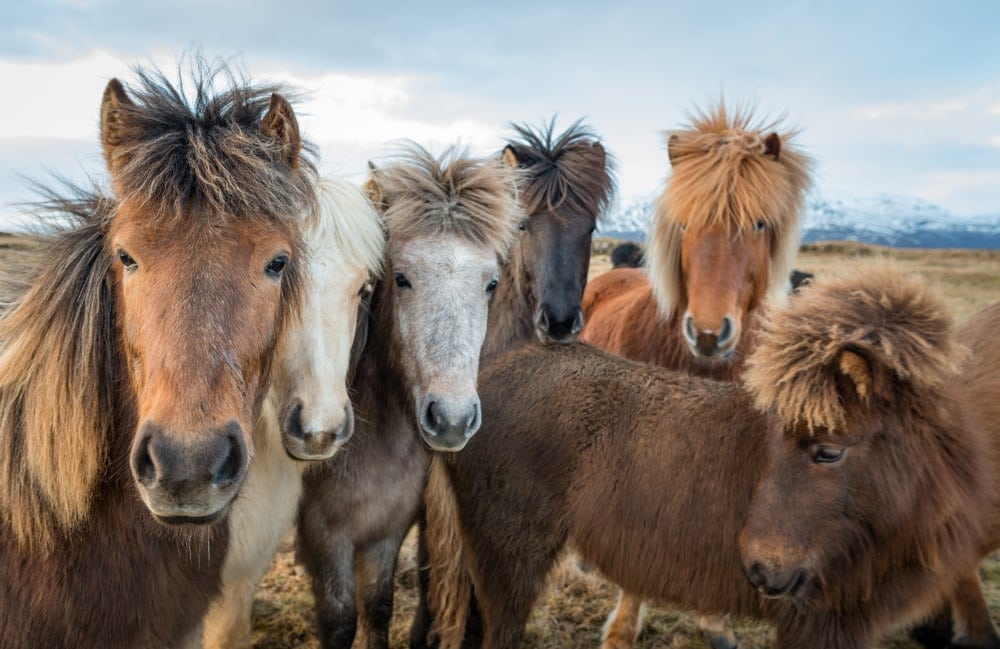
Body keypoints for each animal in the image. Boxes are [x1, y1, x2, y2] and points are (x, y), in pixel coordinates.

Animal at [295, 144, 523, 649]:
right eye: (400, 278)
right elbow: (340, 623)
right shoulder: (326, 541)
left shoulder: (388, 532)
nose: (452, 419)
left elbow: (378, 608)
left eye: (491, 283)